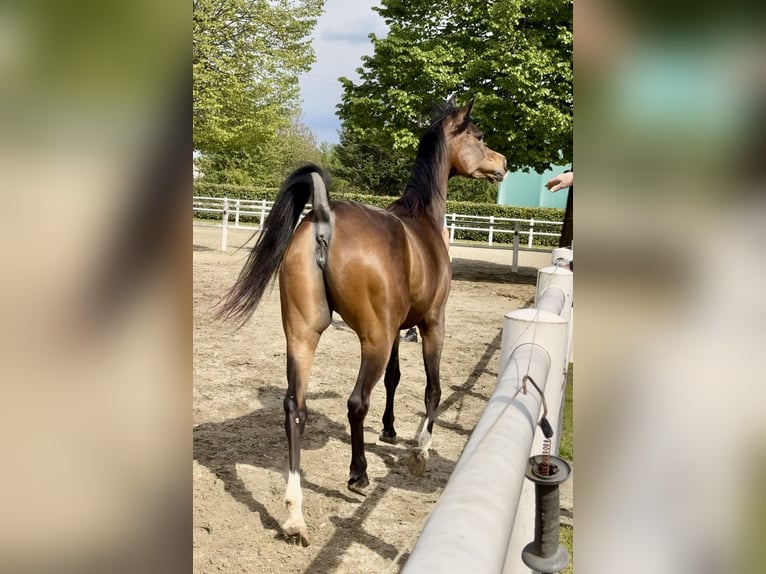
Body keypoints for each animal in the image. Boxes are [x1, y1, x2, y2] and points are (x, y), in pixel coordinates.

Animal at [217, 97, 507, 546]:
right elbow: (432, 389)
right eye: (478, 136)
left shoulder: (397, 331)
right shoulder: (430, 324)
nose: (503, 164)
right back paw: (359, 476)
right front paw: (420, 450)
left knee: (295, 407)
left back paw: (295, 516)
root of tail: (323, 217)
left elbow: (394, 378)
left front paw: (389, 429)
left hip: (303, 336)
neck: (420, 220)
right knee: (356, 402)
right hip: (373, 339)